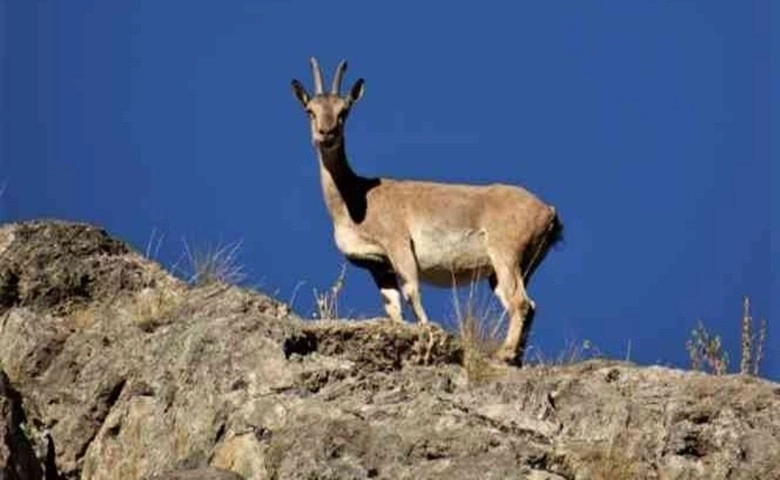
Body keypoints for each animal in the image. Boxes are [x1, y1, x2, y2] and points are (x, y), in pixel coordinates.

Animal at [292, 57, 560, 364]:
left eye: (344, 111)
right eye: (310, 110)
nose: (326, 134)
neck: (355, 197)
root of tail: (548, 212)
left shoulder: (398, 244)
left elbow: (412, 292)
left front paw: (428, 334)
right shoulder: (378, 266)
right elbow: (393, 307)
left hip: (505, 253)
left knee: (520, 302)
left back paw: (504, 353)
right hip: (514, 267)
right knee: (527, 304)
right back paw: (515, 357)